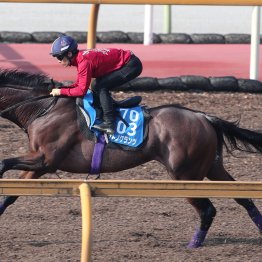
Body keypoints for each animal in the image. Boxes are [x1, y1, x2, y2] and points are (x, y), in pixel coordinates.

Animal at [0, 68, 262, 249]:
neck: (43, 108)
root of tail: (205, 117)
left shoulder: (46, 160)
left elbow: (4, 164)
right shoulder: (39, 163)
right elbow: (12, 193)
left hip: (185, 176)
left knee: (208, 210)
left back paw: (193, 245)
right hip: (211, 168)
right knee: (243, 198)